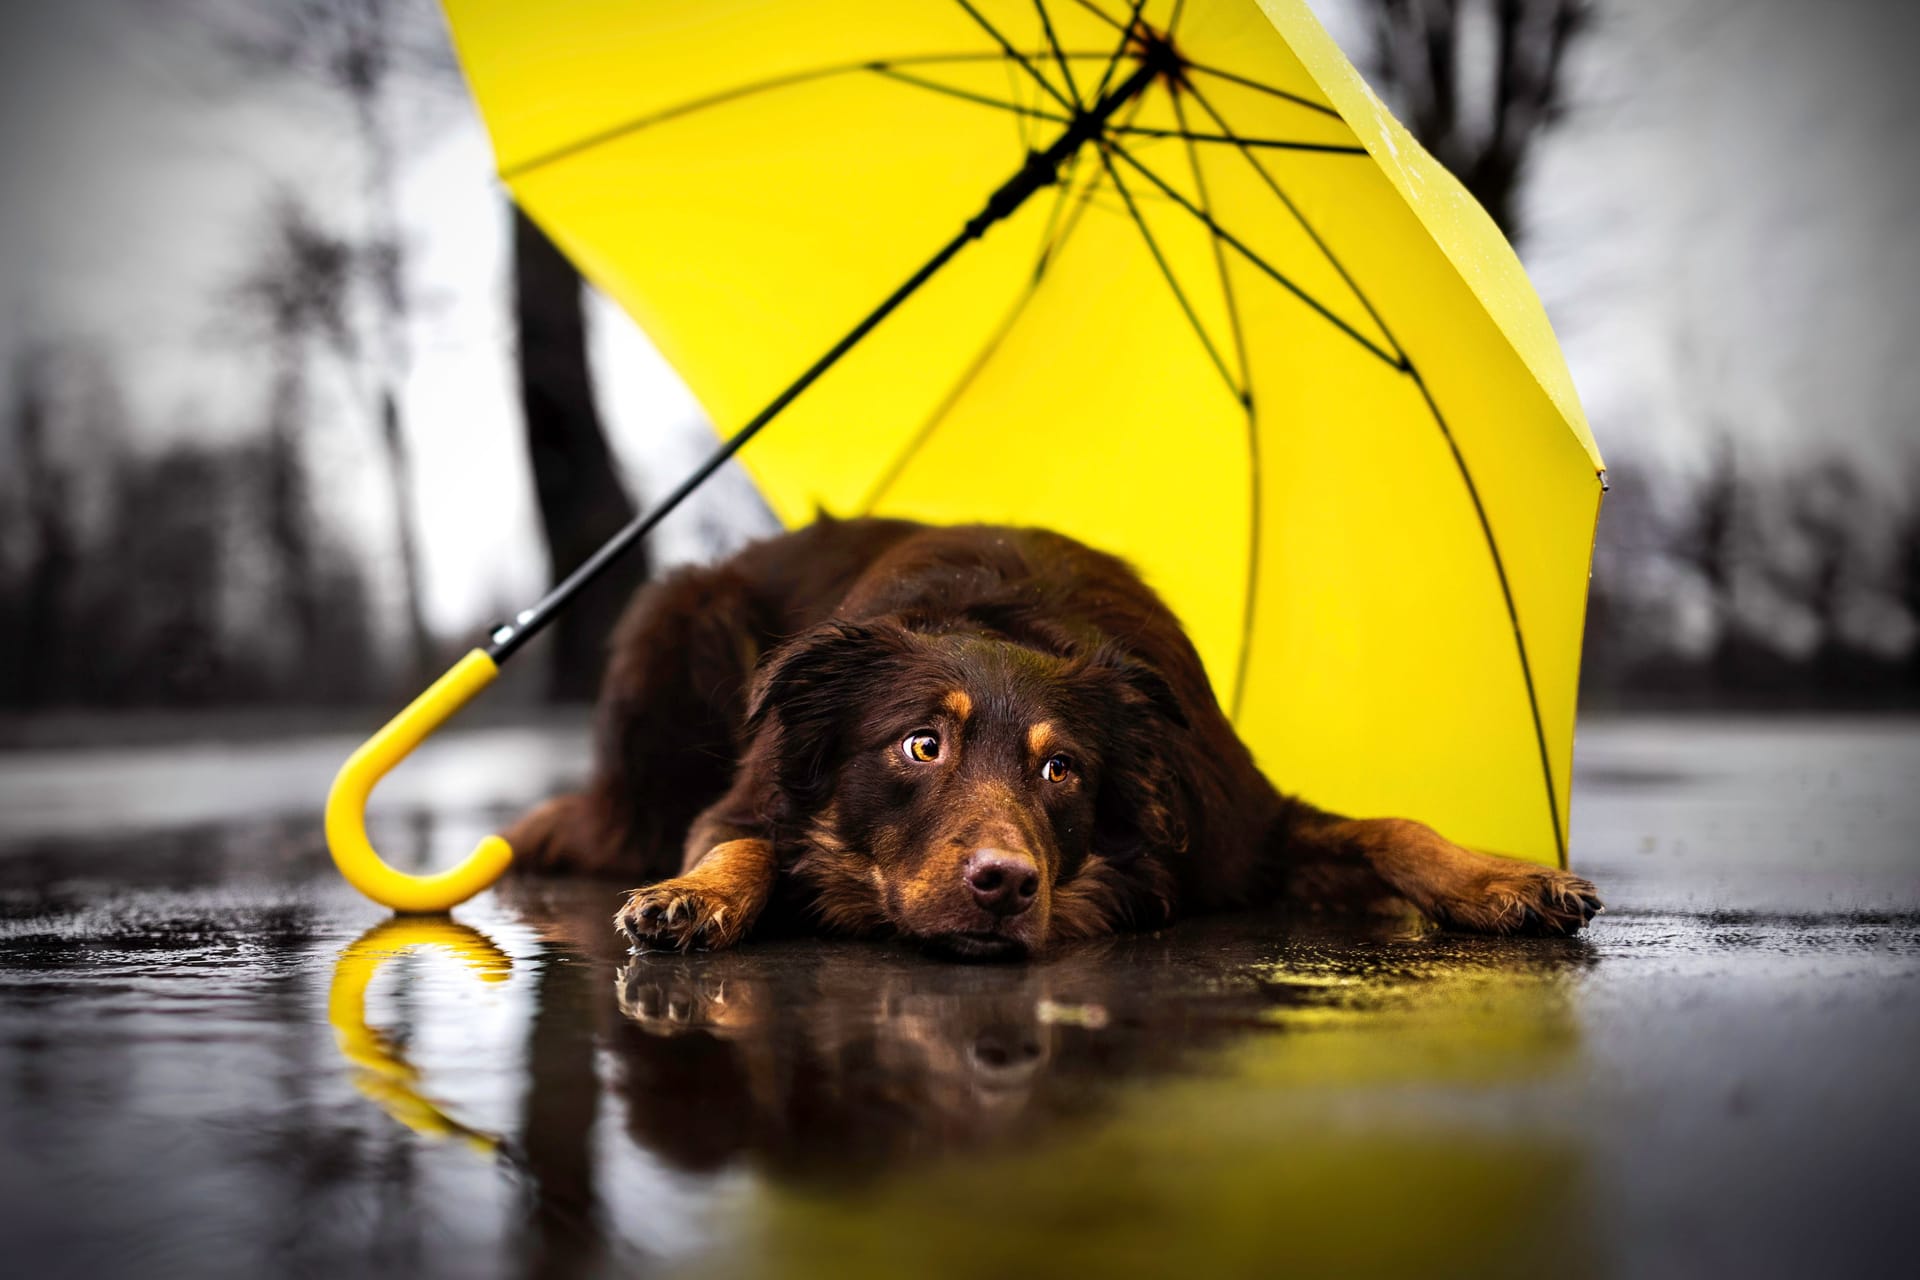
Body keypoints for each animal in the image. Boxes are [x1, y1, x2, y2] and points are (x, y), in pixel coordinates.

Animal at [510, 514, 1605, 955]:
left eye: (1062, 768)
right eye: (921, 746)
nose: (1004, 886)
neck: (1006, 619)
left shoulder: (1240, 825)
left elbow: (1391, 827)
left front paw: (1502, 878)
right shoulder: (750, 789)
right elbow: (740, 841)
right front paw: (694, 897)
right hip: (676, 618)